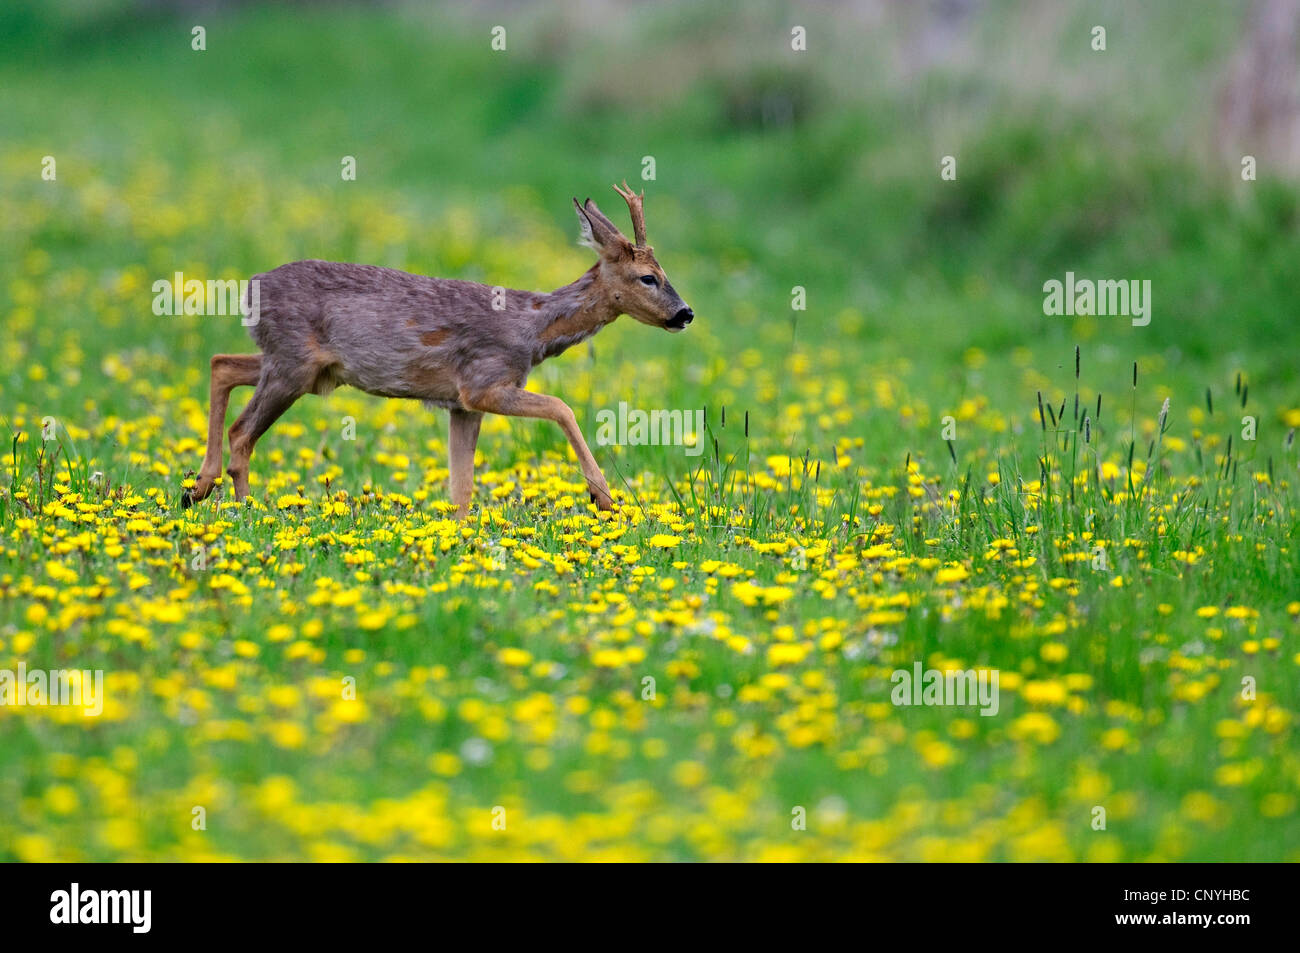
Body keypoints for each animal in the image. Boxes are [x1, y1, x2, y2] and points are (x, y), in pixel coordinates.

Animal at [181, 183, 694, 518]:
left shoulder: (461, 405)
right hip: (294, 364)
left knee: (222, 364)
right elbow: (561, 406)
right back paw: (246, 510)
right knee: (242, 431)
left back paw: (198, 488)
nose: (685, 313)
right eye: (648, 277)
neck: (532, 330)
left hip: (300, 366)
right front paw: (603, 497)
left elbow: (461, 488)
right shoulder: (484, 382)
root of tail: (250, 288)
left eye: (664, 271)